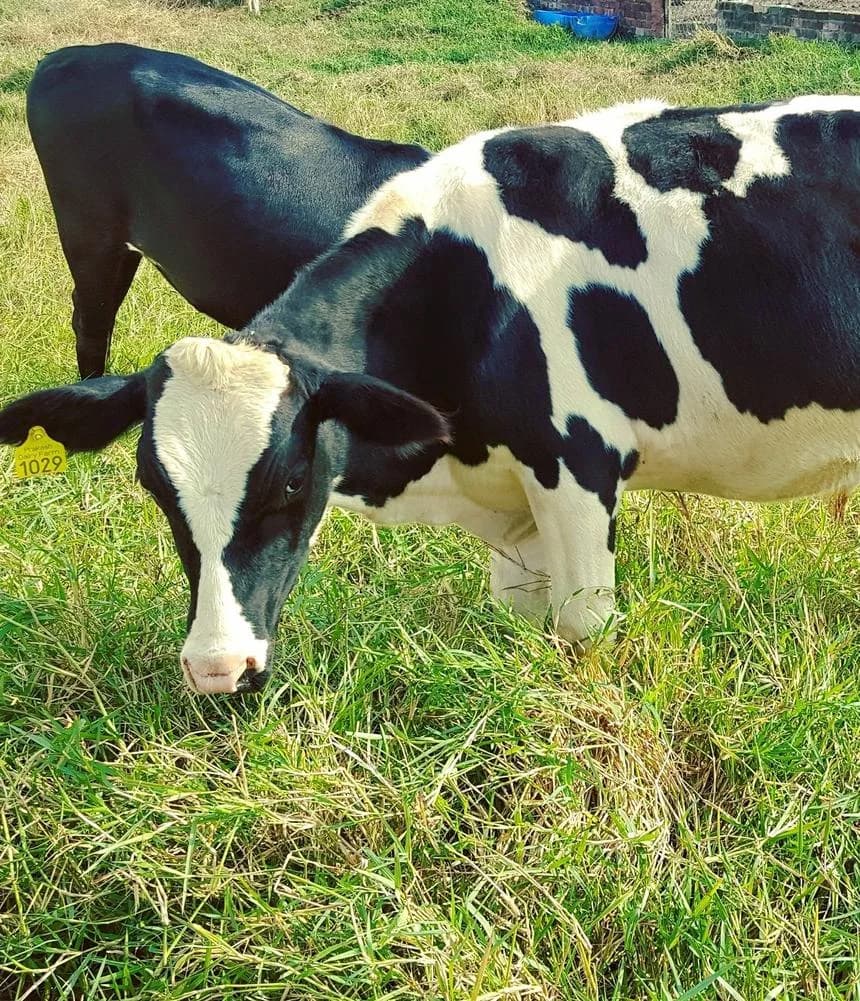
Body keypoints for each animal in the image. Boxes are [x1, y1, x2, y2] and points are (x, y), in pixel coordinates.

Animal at [2, 95, 859, 695]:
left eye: (292, 480)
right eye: (154, 486)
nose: (218, 667)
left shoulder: (576, 462)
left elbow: (583, 631)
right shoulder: (515, 506)